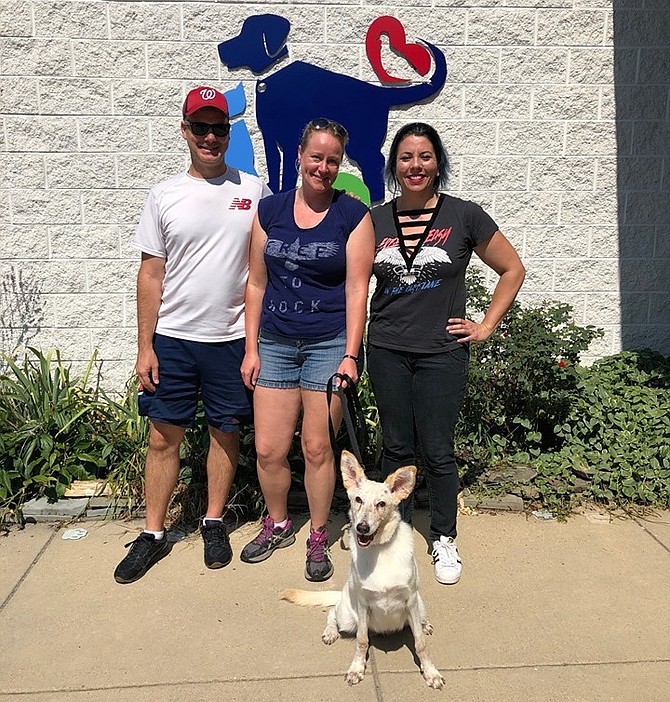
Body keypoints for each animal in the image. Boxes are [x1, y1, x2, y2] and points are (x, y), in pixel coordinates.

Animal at [284, 454, 446, 692]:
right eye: (358, 500)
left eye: (381, 504)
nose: (361, 527)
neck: (380, 550)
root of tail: (343, 593)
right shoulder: (363, 604)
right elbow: (362, 641)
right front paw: (357, 668)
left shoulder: (410, 601)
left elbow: (420, 643)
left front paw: (430, 672)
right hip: (348, 617)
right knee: (332, 612)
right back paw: (330, 632)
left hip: (420, 604)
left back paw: (425, 625)